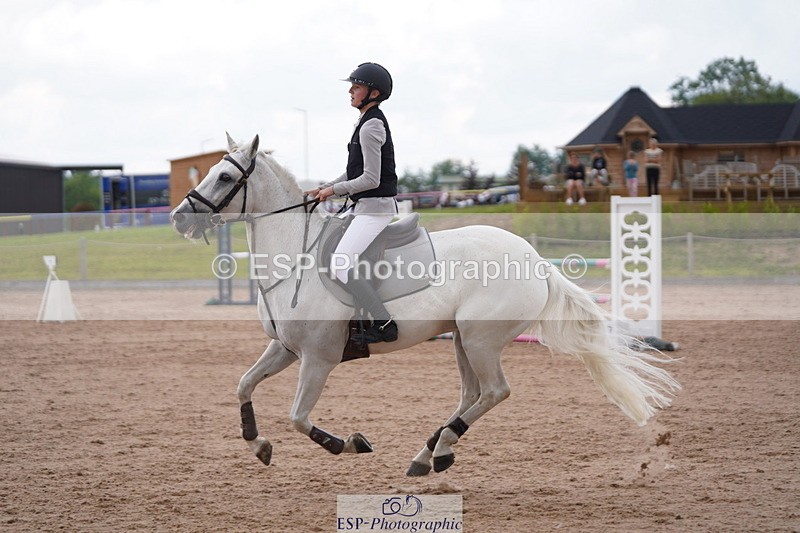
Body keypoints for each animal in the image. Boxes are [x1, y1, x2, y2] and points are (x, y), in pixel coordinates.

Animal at [170, 133, 680, 476]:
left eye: (225, 176)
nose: (178, 218)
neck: (295, 256)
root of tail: (535, 260)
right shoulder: (285, 349)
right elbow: (243, 385)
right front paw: (258, 446)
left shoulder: (317, 358)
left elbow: (298, 417)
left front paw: (350, 443)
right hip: (462, 340)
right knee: (471, 395)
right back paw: (427, 453)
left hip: (480, 339)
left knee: (494, 392)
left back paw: (443, 450)